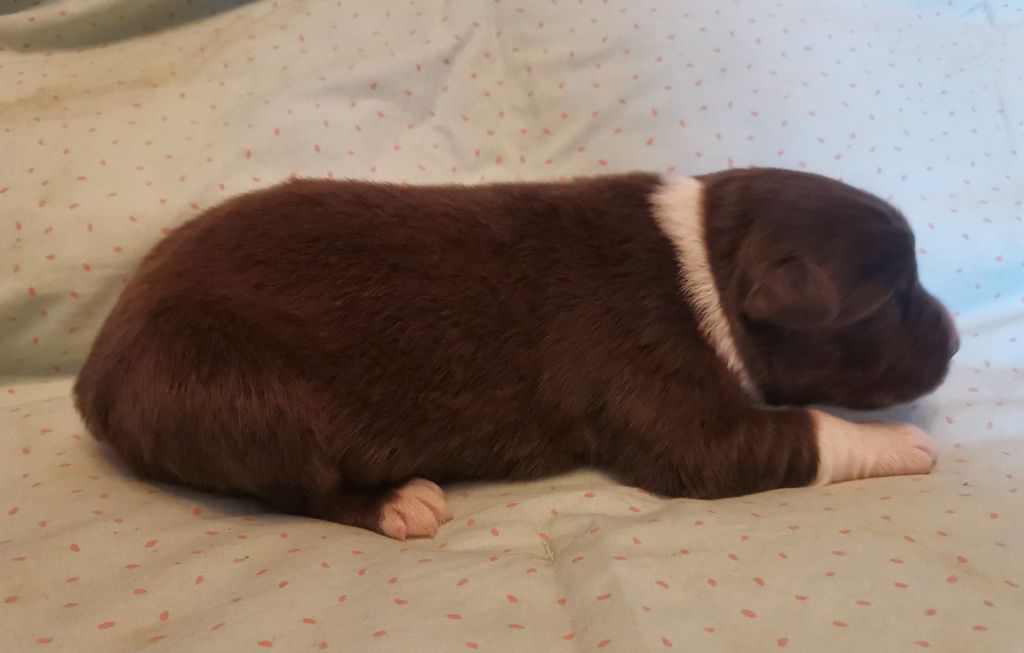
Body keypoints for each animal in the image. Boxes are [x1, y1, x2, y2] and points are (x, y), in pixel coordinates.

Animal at [74, 167, 958, 539]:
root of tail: (93, 376)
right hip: (236, 394)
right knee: (301, 483)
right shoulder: (663, 391)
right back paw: (399, 502)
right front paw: (901, 442)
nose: (955, 339)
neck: (705, 254)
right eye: (893, 296)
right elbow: (791, 432)